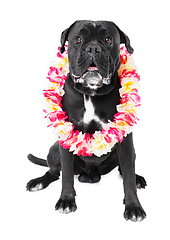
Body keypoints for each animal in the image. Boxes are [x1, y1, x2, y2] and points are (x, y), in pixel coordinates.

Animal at [26, 20, 146, 221]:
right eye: (78, 39)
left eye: (108, 39)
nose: (93, 48)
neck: (91, 92)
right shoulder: (66, 138)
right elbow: (66, 174)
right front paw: (66, 200)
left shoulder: (125, 141)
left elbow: (128, 176)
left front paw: (133, 207)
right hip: (54, 151)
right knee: (54, 172)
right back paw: (39, 182)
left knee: (124, 169)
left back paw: (138, 178)